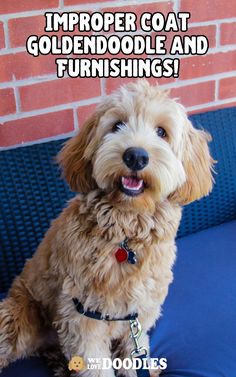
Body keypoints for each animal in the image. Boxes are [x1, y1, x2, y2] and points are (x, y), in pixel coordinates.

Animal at [0, 81, 214, 374]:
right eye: (117, 125)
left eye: (162, 132)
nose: (135, 156)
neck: (126, 235)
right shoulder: (81, 316)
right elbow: (96, 366)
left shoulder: (139, 313)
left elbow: (133, 350)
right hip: (17, 315)